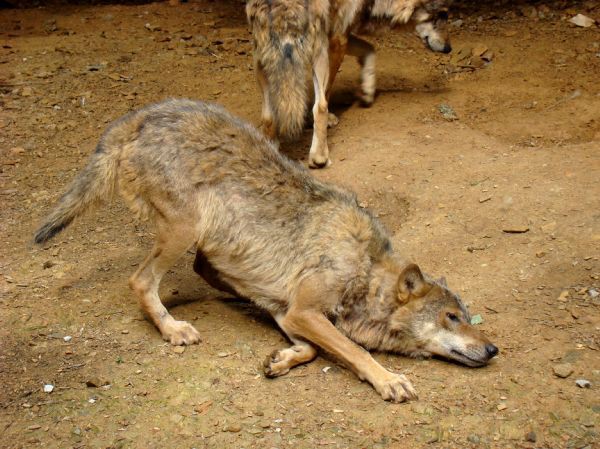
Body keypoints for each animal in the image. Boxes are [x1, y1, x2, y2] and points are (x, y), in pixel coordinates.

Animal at [35, 99, 500, 402]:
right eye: (451, 317)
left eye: (466, 315)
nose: (494, 349)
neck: (365, 269)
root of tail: (136, 117)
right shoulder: (304, 311)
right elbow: (354, 350)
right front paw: (389, 380)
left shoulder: (287, 310)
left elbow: (314, 348)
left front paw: (282, 359)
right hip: (184, 230)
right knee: (140, 281)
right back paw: (173, 330)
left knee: (204, 270)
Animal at [245, 0, 450, 168]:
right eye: (439, 17)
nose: (449, 48)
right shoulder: (337, 39)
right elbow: (327, 92)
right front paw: (331, 119)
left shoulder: (339, 35)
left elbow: (370, 49)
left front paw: (367, 90)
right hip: (315, 55)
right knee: (320, 106)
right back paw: (319, 157)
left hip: (261, 58)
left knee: (268, 116)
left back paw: (269, 147)